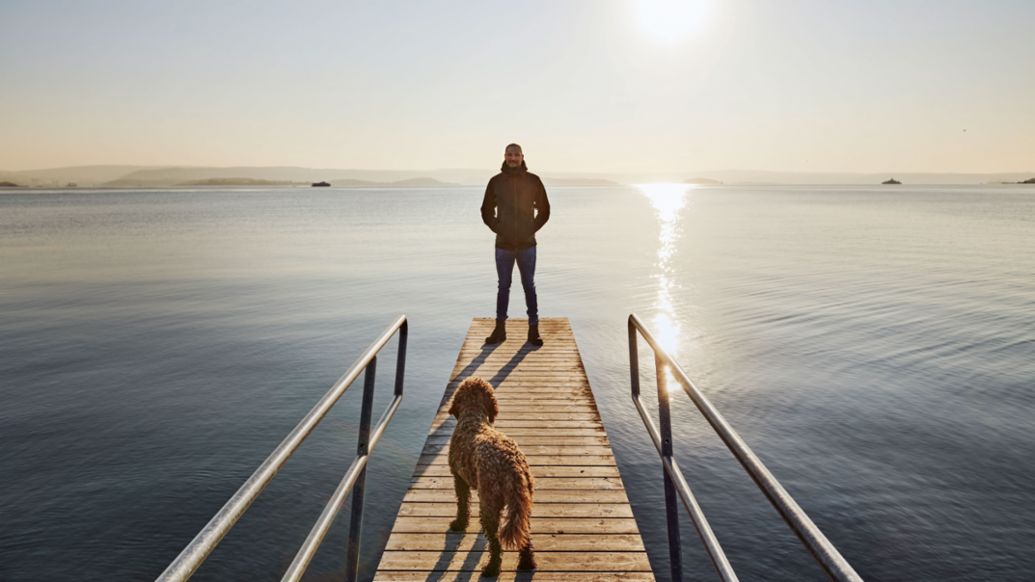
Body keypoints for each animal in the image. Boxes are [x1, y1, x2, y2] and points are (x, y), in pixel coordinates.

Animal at [449, 372, 538, 571]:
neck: (473, 418)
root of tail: (513, 466)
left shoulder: (459, 478)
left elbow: (462, 505)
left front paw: (459, 524)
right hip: (522, 504)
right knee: (525, 535)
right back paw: (527, 563)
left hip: (489, 503)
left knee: (495, 541)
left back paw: (491, 568)